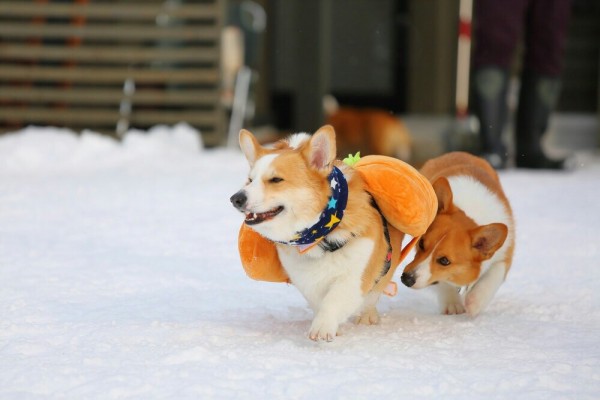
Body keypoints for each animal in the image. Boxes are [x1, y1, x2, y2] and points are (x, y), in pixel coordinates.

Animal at [230, 125, 404, 340]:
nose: (235, 198)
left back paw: (367, 315)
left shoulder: (356, 276)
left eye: (276, 179)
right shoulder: (307, 282)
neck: (318, 237)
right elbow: (319, 302)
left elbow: (334, 300)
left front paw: (323, 327)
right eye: (250, 180)